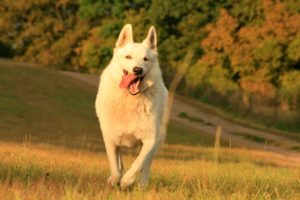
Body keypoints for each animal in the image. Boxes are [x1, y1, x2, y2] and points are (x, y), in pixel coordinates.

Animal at [95, 24, 168, 188]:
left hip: (157, 139)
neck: (130, 99)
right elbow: (115, 166)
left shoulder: (150, 139)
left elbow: (138, 163)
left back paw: (141, 185)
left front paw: (127, 181)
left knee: (146, 166)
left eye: (145, 59)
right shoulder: (110, 138)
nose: (137, 70)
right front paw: (115, 180)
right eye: (128, 57)